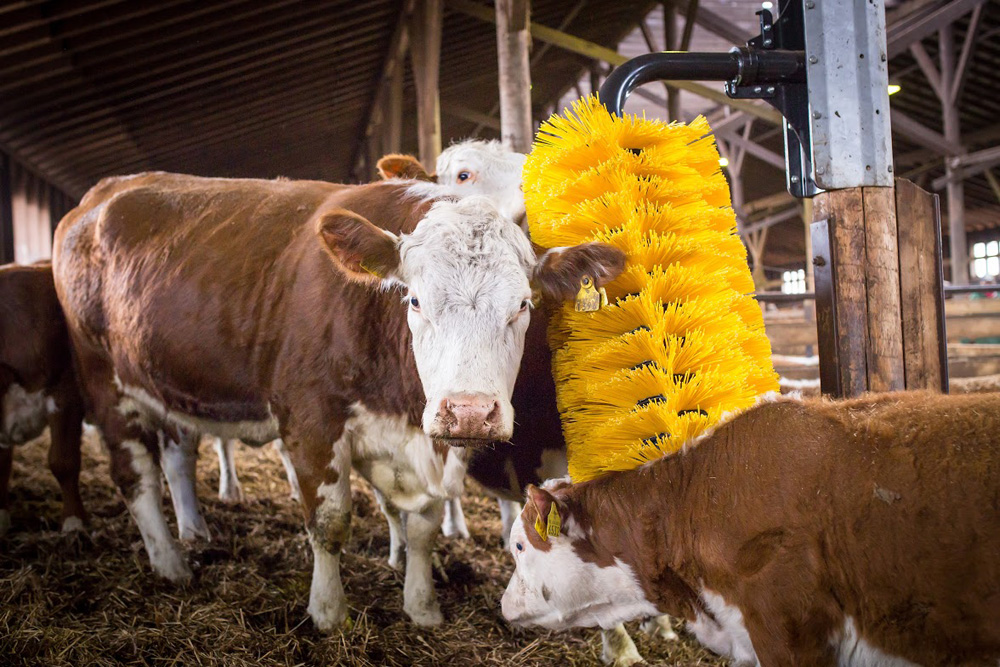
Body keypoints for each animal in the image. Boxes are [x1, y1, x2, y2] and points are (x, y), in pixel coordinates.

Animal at [54, 172, 624, 632]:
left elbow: (423, 529)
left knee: (177, 458)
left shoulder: (423, 441)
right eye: (415, 299)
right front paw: (329, 613)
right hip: (104, 379)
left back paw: (193, 532)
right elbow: (329, 524)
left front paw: (422, 608)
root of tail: (100, 195)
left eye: (524, 304)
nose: (468, 412)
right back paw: (170, 563)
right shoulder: (311, 421)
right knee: (136, 476)